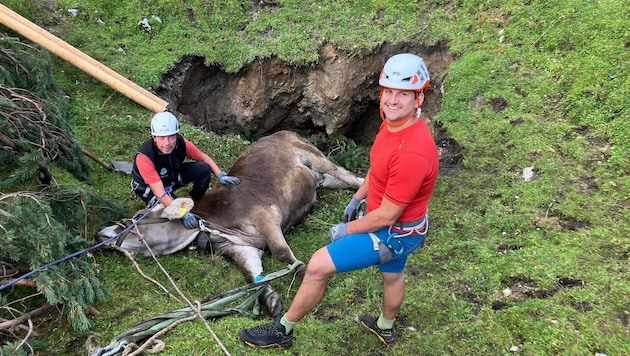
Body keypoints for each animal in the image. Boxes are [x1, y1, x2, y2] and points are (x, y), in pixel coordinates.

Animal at [96, 131, 362, 314]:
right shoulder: (237, 248)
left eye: (134, 218)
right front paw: (271, 299)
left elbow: (280, 252)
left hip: (313, 156)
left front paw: (307, 275)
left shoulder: (263, 216)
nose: (100, 230)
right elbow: (253, 276)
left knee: (350, 176)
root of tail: (280, 132)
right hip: (320, 178)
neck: (212, 226)